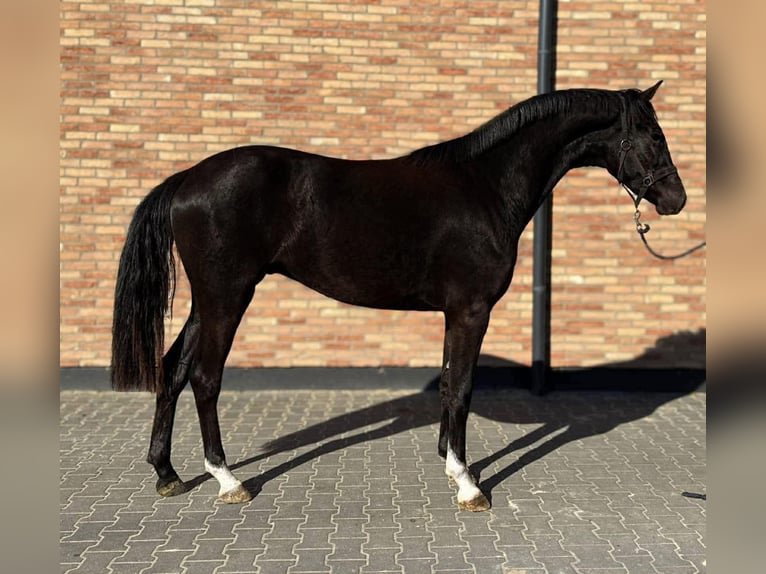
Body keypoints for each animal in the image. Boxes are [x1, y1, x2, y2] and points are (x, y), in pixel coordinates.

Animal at [111, 82, 687, 511]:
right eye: (653, 137)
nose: (676, 199)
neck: (486, 187)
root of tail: (188, 178)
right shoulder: (471, 311)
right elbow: (463, 389)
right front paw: (469, 485)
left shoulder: (455, 313)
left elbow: (450, 385)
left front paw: (451, 464)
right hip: (228, 295)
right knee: (205, 378)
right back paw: (229, 481)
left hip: (206, 301)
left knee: (172, 369)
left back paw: (167, 473)